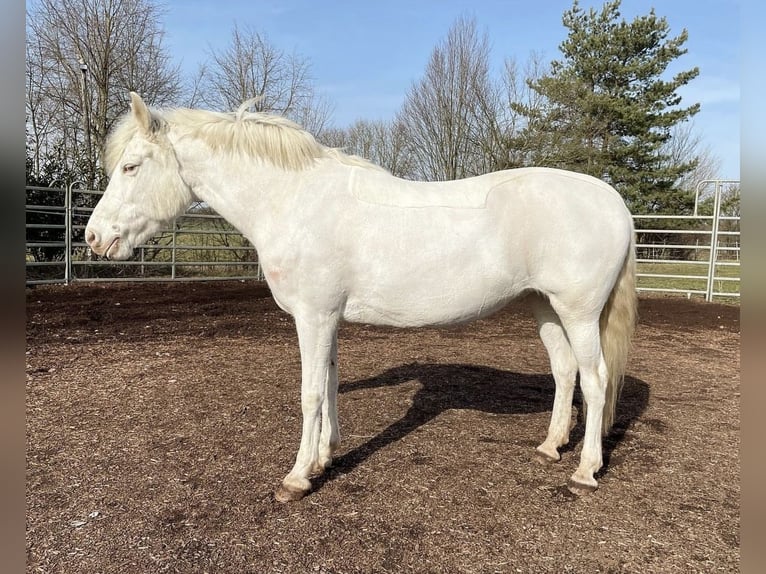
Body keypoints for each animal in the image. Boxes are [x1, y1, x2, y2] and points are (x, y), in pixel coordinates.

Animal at [84, 93, 640, 504]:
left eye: (131, 166)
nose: (94, 237)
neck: (293, 202)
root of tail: (611, 199)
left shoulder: (313, 317)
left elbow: (310, 393)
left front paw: (296, 478)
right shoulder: (328, 318)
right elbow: (330, 384)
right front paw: (323, 458)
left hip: (578, 311)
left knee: (595, 379)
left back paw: (585, 470)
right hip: (546, 307)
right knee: (565, 372)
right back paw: (550, 446)